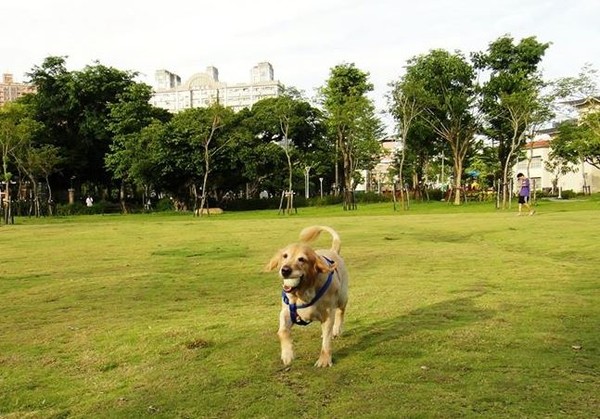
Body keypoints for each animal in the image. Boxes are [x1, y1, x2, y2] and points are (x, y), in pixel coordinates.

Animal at [266, 226, 350, 368]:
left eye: (302, 259)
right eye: (285, 256)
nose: (285, 270)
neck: (302, 293)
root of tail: (333, 251)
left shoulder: (328, 315)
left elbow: (326, 340)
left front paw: (324, 360)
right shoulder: (287, 311)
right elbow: (282, 331)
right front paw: (287, 354)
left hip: (342, 297)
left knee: (341, 311)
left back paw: (336, 329)